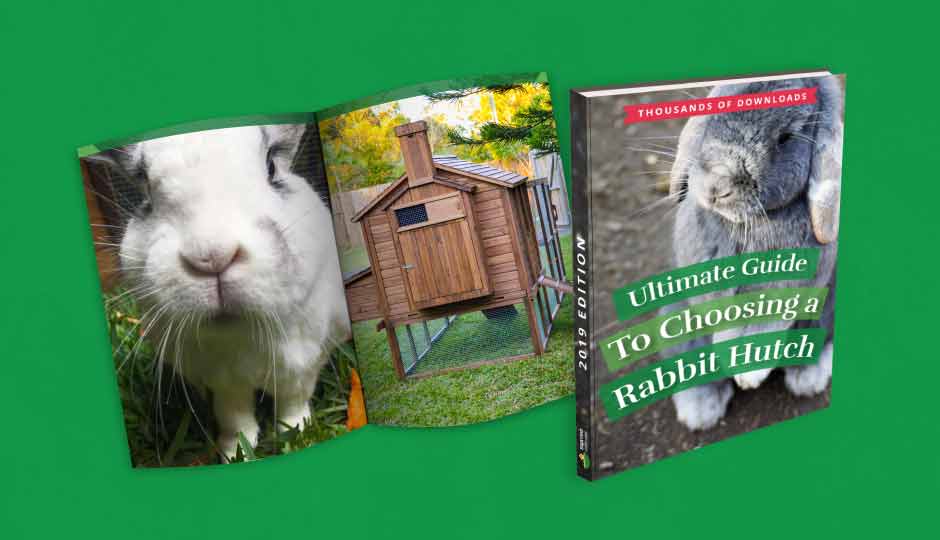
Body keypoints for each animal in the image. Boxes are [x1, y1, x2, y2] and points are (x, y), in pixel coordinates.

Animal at [87, 124, 351, 459]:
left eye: (271, 167)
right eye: (145, 185)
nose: (212, 256)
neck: (238, 335)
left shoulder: (301, 364)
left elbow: (292, 403)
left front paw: (297, 435)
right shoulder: (222, 382)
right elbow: (234, 418)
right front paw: (234, 453)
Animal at [666, 76, 844, 430]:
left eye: (786, 138)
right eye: (714, 111)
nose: (716, 186)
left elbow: (769, 322)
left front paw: (748, 375)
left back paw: (808, 377)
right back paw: (700, 410)